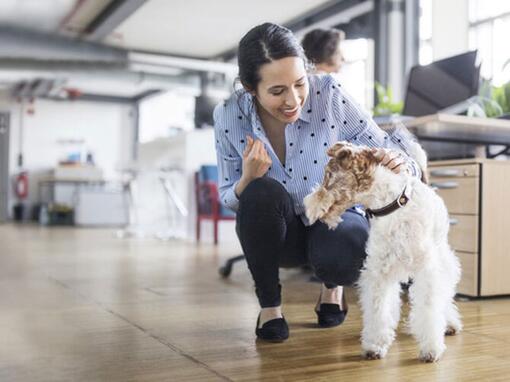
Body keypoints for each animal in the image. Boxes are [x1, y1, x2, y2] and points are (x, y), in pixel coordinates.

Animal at [302, 139, 462, 362]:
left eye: (329, 176)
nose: (306, 204)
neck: (392, 205)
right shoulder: (379, 270)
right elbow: (378, 308)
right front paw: (375, 346)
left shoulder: (426, 270)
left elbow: (429, 308)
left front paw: (431, 350)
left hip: (442, 260)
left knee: (444, 296)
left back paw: (449, 324)